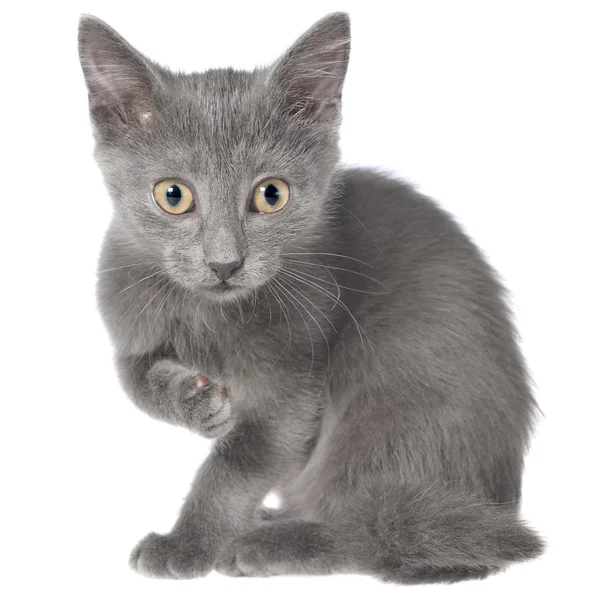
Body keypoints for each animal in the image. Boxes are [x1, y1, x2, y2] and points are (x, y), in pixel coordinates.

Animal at [78, 11, 544, 584]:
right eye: (173, 195)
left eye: (271, 194)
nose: (224, 263)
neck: (209, 313)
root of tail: (497, 502)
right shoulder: (125, 320)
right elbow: (133, 380)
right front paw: (195, 400)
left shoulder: (294, 381)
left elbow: (237, 464)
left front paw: (186, 545)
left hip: (392, 381)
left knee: (369, 532)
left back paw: (264, 544)